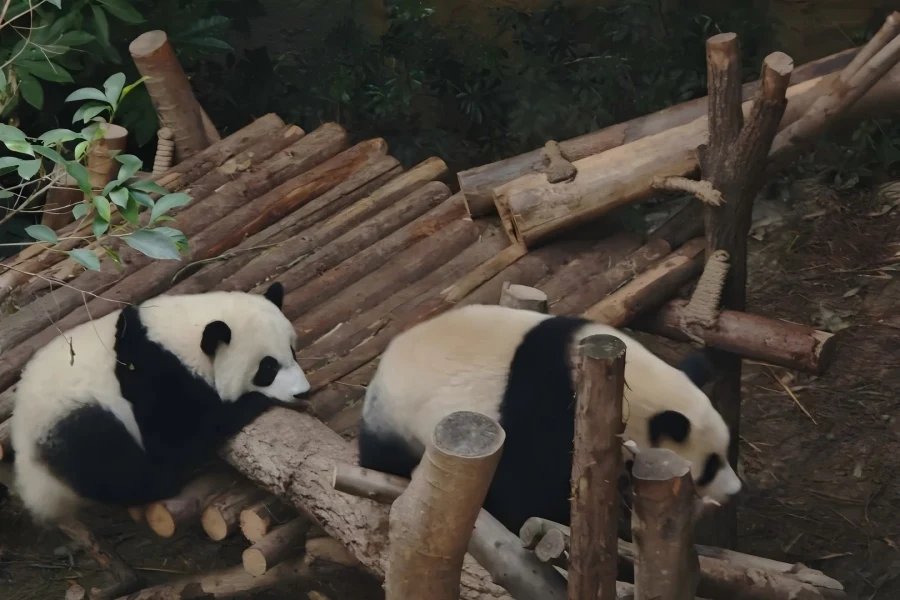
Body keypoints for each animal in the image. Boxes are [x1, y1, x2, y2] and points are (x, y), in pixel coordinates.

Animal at [9, 282, 310, 524]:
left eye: (292, 351)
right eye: (268, 368)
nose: (303, 393)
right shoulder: (154, 374)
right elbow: (177, 436)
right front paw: (255, 401)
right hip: (69, 419)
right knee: (112, 461)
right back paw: (168, 479)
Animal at [358, 303, 741, 534]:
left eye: (727, 452)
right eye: (710, 465)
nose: (734, 491)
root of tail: (382, 365)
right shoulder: (547, 405)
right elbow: (528, 486)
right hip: (398, 417)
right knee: (384, 456)